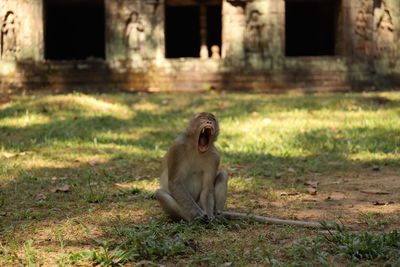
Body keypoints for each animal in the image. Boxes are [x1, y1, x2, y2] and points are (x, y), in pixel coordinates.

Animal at [156, 113, 350, 230]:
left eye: (212, 119)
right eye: (202, 118)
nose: (208, 122)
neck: (197, 148)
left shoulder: (214, 156)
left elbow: (207, 189)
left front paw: (209, 216)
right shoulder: (177, 148)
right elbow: (175, 183)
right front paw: (198, 216)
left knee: (222, 175)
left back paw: (217, 216)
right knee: (161, 193)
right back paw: (190, 221)